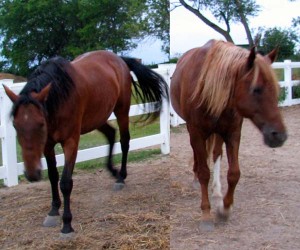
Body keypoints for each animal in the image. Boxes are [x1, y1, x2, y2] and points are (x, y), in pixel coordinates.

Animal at [2, 50, 169, 236]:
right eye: (15, 125)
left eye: (40, 124)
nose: (32, 174)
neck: (60, 95)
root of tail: (118, 59)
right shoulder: (47, 145)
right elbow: (53, 176)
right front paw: (53, 210)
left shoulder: (71, 142)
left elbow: (65, 182)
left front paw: (67, 224)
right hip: (96, 118)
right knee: (111, 134)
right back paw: (114, 171)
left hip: (121, 110)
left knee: (124, 141)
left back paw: (121, 177)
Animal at [170, 39, 288, 230]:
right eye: (256, 89)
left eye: (276, 89)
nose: (279, 135)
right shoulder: (197, 133)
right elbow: (204, 172)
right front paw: (206, 214)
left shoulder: (232, 133)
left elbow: (234, 173)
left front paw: (224, 208)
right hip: (193, 131)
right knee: (197, 155)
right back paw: (196, 179)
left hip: (218, 133)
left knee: (216, 153)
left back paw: (217, 193)